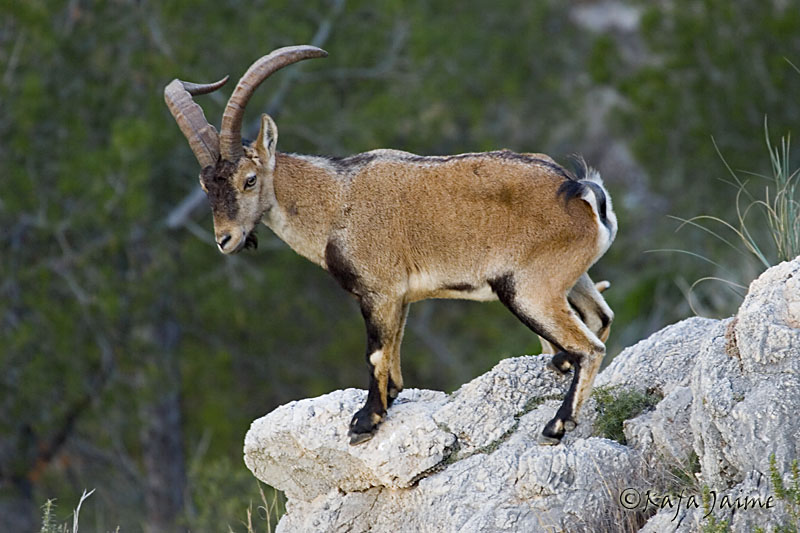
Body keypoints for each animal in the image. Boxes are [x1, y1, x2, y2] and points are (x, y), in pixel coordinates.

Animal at [164, 46, 617, 445]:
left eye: (249, 180)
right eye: (205, 186)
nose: (225, 239)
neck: (334, 201)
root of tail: (580, 191)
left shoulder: (378, 291)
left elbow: (376, 355)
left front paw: (365, 422)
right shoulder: (399, 297)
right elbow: (395, 353)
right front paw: (386, 404)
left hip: (528, 289)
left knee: (590, 347)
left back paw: (556, 425)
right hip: (570, 278)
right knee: (600, 317)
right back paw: (559, 367)